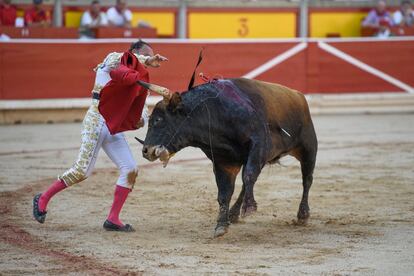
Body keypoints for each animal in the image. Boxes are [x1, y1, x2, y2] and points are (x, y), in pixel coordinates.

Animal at [137, 78, 316, 237]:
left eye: (158, 120)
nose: (146, 151)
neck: (212, 114)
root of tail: (298, 95)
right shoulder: (224, 161)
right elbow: (225, 192)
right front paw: (221, 225)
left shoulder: (259, 144)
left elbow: (248, 176)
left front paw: (249, 208)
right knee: (246, 184)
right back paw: (234, 213)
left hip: (308, 148)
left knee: (306, 180)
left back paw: (302, 215)